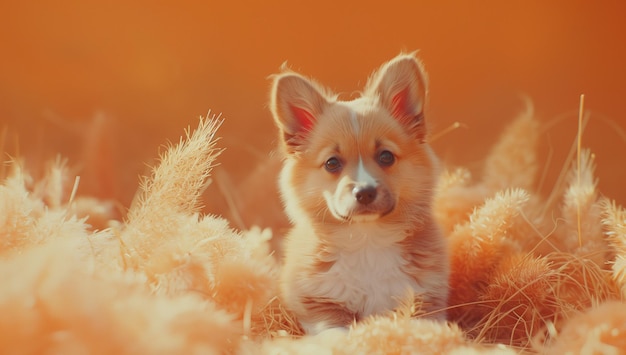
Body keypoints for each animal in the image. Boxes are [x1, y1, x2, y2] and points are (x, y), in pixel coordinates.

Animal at [268, 52, 448, 334]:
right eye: (332, 163)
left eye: (386, 157)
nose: (364, 192)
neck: (367, 241)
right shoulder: (321, 307)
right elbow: (336, 332)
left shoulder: (426, 302)